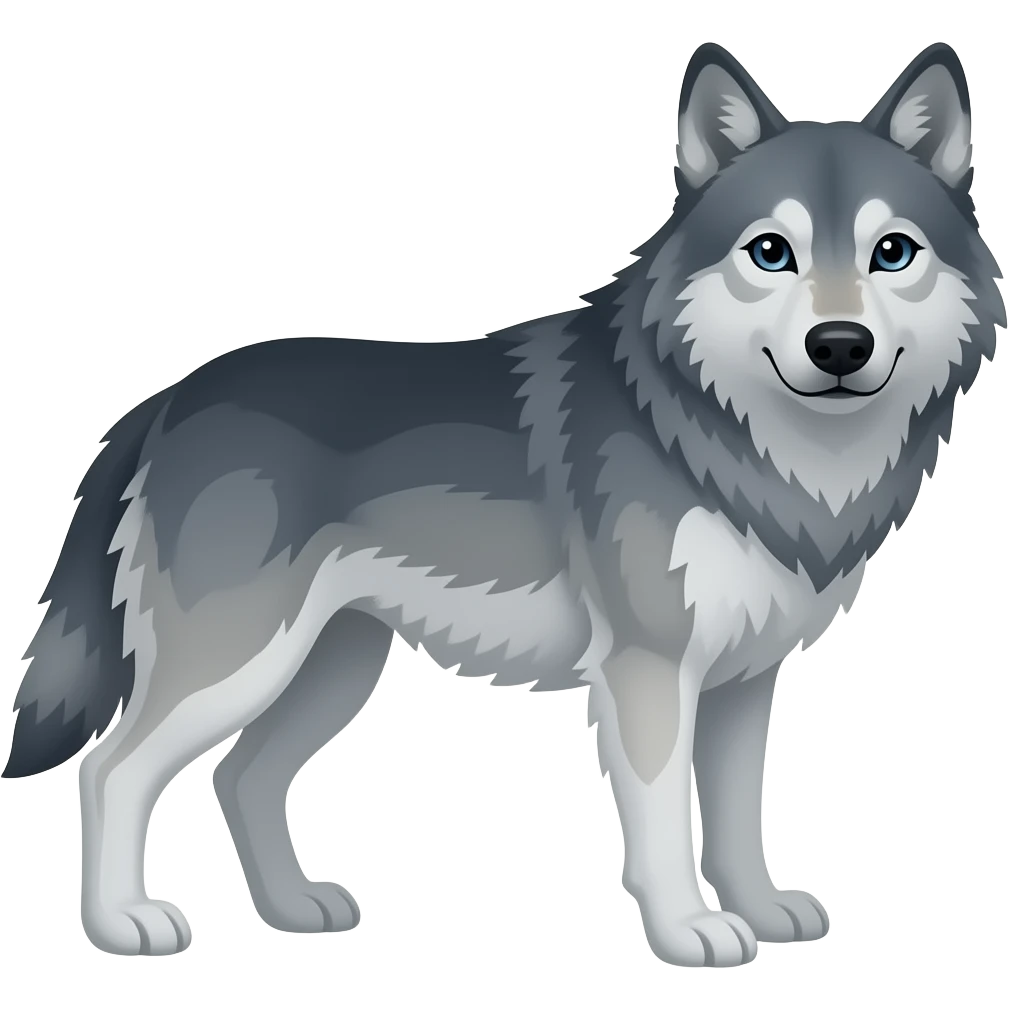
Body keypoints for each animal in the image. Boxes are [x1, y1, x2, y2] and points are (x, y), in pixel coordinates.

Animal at [5, 41, 1004, 966]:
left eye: (891, 253)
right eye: (770, 252)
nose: (839, 345)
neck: (739, 438)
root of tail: (167, 399)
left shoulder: (742, 680)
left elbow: (736, 816)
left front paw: (759, 912)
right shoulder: (648, 670)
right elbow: (663, 824)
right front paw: (689, 931)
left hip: (331, 666)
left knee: (240, 775)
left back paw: (293, 910)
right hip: (237, 663)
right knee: (110, 770)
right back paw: (123, 924)